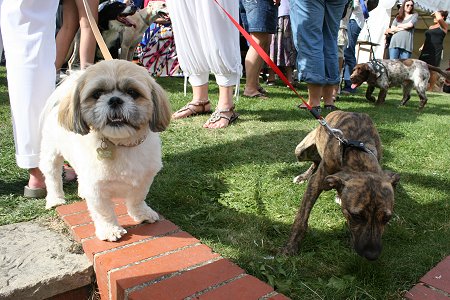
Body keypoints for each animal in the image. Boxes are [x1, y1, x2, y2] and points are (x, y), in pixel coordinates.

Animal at [282, 110, 400, 260]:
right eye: (356, 216)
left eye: (387, 218)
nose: (371, 255)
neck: (359, 157)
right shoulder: (316, 183)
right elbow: (301, 219)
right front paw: (291, 246)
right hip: (300, 150)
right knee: (314, 161)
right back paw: (303, 177)